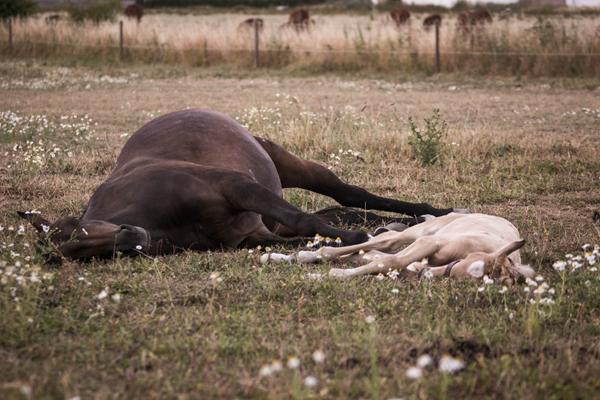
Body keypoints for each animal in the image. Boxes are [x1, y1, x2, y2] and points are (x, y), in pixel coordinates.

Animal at [19, 109, 460, 260]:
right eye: (75, 255)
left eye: (77, 228)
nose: (131, 237)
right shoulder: (248, 235)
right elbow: (306, 236)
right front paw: (368, 236)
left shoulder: (235, 186)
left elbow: (304, 221)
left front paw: (360, 237)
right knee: (338, 209)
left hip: (291, 165)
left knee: (348, 194)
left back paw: (432, 212)